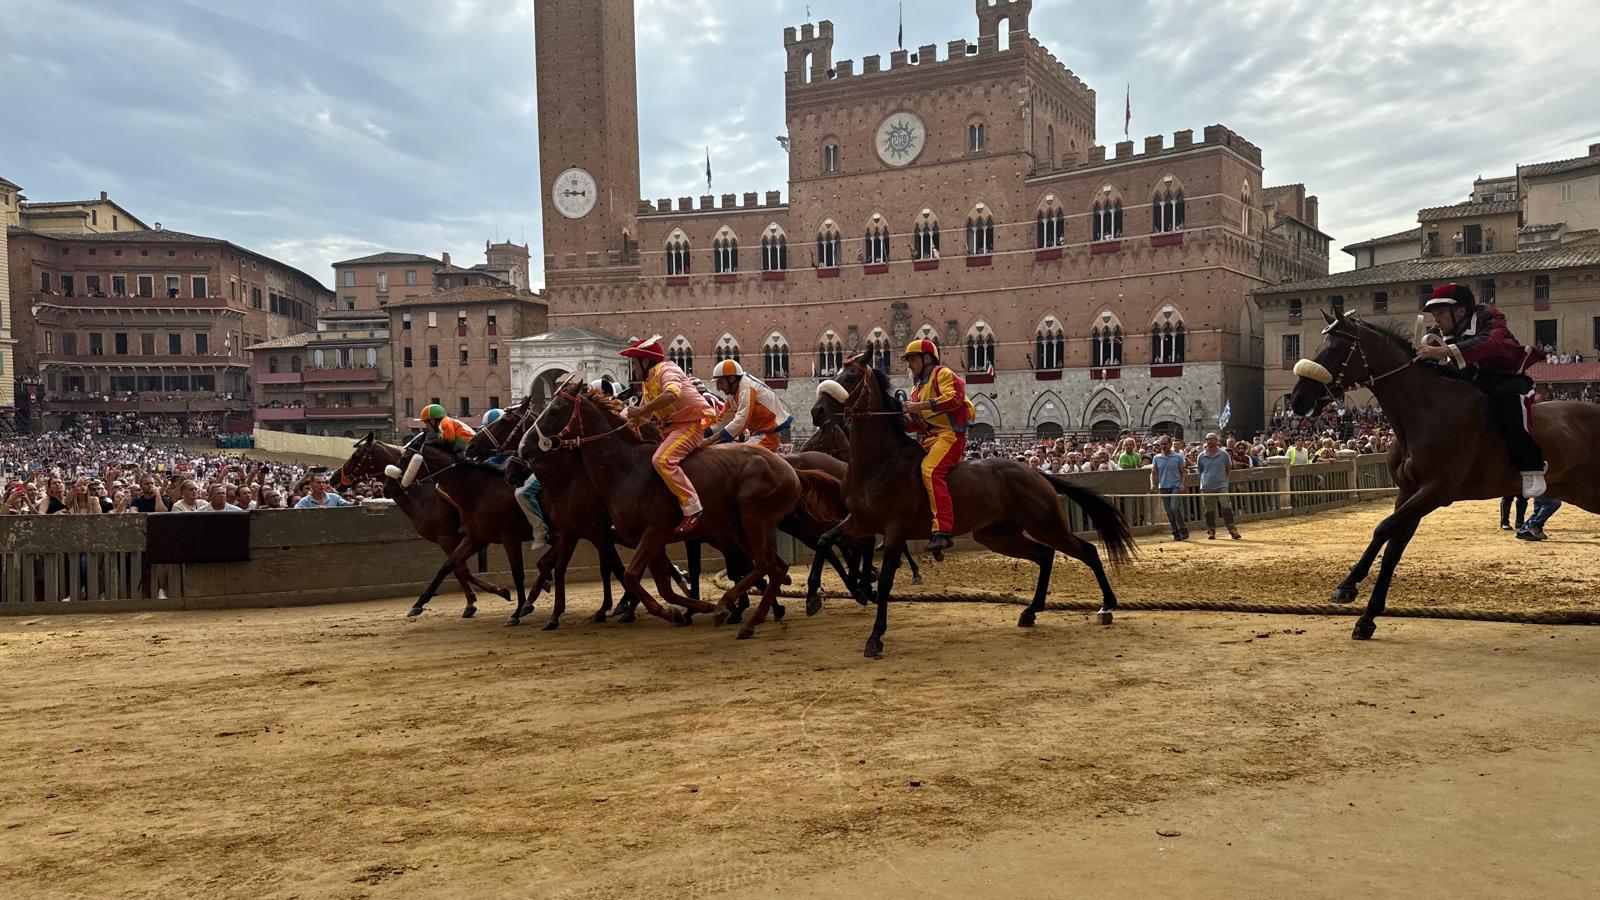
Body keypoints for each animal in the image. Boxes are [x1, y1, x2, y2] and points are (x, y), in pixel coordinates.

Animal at [336, 432, 505, 614]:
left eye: (356, 455)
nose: (333, 478)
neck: (422, 495)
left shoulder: (448, 537)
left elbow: (459, 569)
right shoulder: (452, 540)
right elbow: (458, 569)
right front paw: (473, 601)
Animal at [524, 379, 819, 637]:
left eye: (554, 410)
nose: (524, 445)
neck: (626, 469)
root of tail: (788, 467)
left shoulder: (655, 531)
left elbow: (631, 575)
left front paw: (691, 609)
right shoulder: (644, 539)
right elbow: (659, 585)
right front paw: (683, 611)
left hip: (754, 519)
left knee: (766, 563)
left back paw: (731, 606)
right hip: (737, 528)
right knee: (774, 566)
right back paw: (749, 616)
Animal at [819, 353, 1132, 656]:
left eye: (851, 376)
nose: (816, 412)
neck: (880, 464)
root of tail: (1035, 473)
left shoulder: (895, 530)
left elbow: (885, 581)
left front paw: (875, 635)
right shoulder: (860, 522)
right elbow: (826, 541)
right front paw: (830, 593)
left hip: (1045, 525)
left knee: (1087, 551)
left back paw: (1107, 604)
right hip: (997, 535)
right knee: (1045, 555)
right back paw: (1031, 611)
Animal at [1286, 307, 1600, 637]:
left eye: (1336, 348)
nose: (1298, 399)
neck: (1425, 411)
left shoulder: (1435, 491)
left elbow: (1383, 528)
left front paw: (1348, 584)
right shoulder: (1409, 493)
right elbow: (1394, 546)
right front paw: (1367, 617)